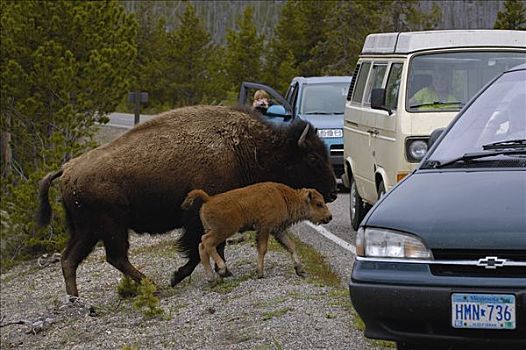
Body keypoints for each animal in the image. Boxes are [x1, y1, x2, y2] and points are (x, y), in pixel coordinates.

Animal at [179, 182, 332, 284]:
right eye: (319, 203)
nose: (329, 217)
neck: (283, 197)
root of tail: (209, 199)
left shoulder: (278, 230)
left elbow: (291, 246)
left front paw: (300, 270)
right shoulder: (265, 228)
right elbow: (262, 249)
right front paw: (260, 273)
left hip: (213, 230)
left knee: (202, 246)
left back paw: (211, 278)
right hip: (223, 231)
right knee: (207, 243)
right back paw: (222, 269)